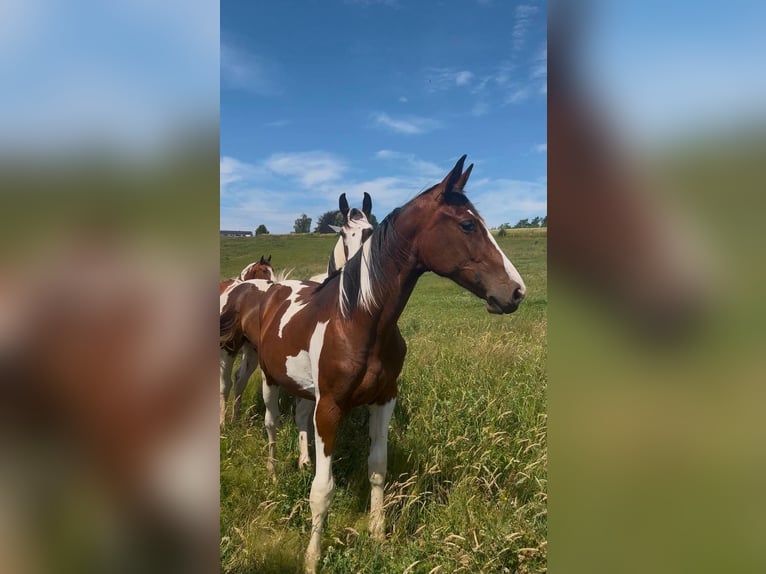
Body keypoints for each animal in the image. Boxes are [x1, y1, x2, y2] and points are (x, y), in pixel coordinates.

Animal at [220, 155, 526, 573]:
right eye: (467, 225)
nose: (516, 291)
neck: (357, 320)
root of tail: (271, 290)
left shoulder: (384, 401)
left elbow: (377, 467)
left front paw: (378, 533)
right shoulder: (330, 408)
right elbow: (322, 491)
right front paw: (312, 558)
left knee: (298, 419)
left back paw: (301, 461)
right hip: (267, 378)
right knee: (269, 424)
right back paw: (272, 474)